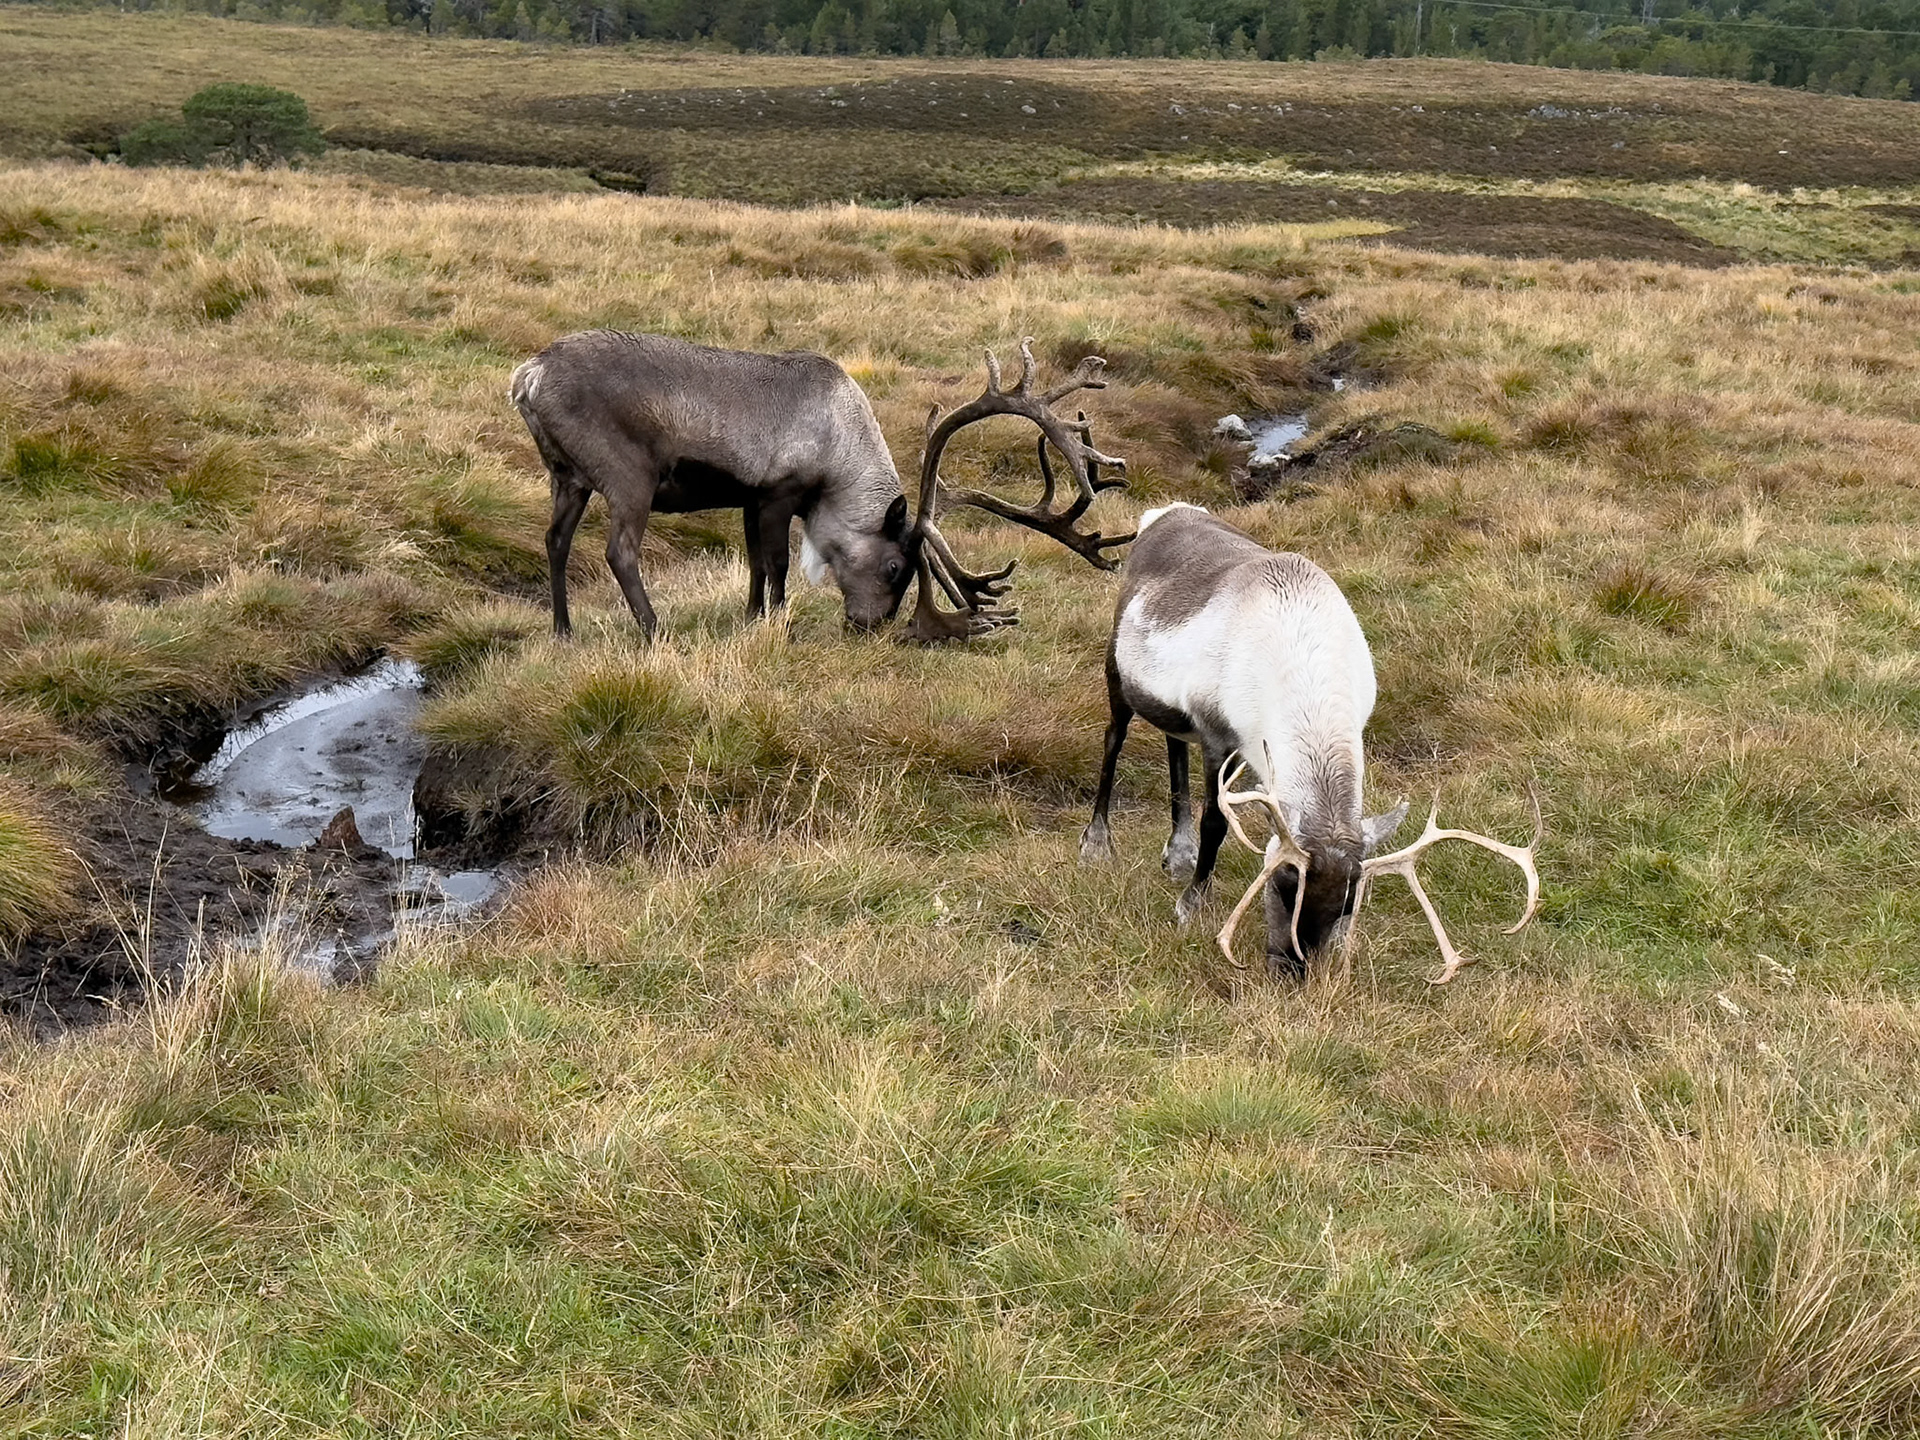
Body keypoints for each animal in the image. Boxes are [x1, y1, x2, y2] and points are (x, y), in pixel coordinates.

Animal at [509, 331, 1131, 643]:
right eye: (895, 567)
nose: (869, 626)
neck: (840, 445)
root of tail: (528, 374)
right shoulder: (780, 493)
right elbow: (779, 564)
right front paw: (778, 623)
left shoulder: (751, 498)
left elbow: (755, 563)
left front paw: (753, 618)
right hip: (628, 478)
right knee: (620, 551)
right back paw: (657, 632)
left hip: (566, 476)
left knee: (555, 541)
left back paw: (563, 632)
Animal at [1079, 502, 1541, 983]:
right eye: (1283, 884)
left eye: (1349, 902)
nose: (1292, 968)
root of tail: (1164, 511)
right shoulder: (1216, 734)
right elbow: (1216, 822)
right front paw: (1191, 903)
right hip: (1117, 674)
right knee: (1113, 740)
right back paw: (1097, 843)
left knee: (1174, 748)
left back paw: (1178, 852)